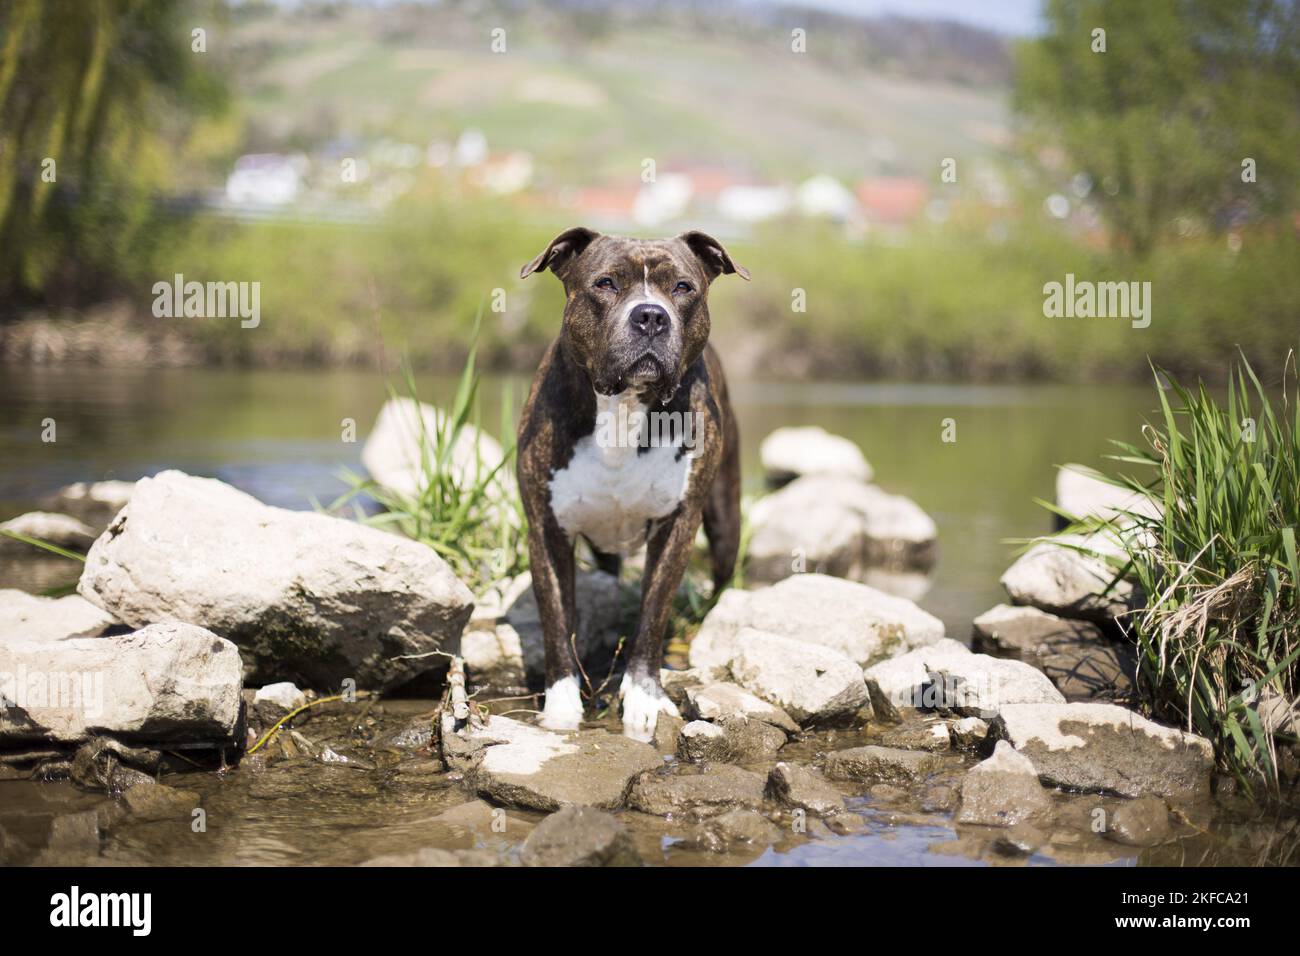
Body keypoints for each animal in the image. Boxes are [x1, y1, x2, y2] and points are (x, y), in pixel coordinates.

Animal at [514, 226, 743, 738]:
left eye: (682, 287)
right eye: (605, 283)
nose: (651, 316)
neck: (623, 408)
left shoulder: (678, 525)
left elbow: (652, 615)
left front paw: (643, 697)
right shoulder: (547, 528)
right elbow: (556, 620)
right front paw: (561, 706)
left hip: (725, 520)